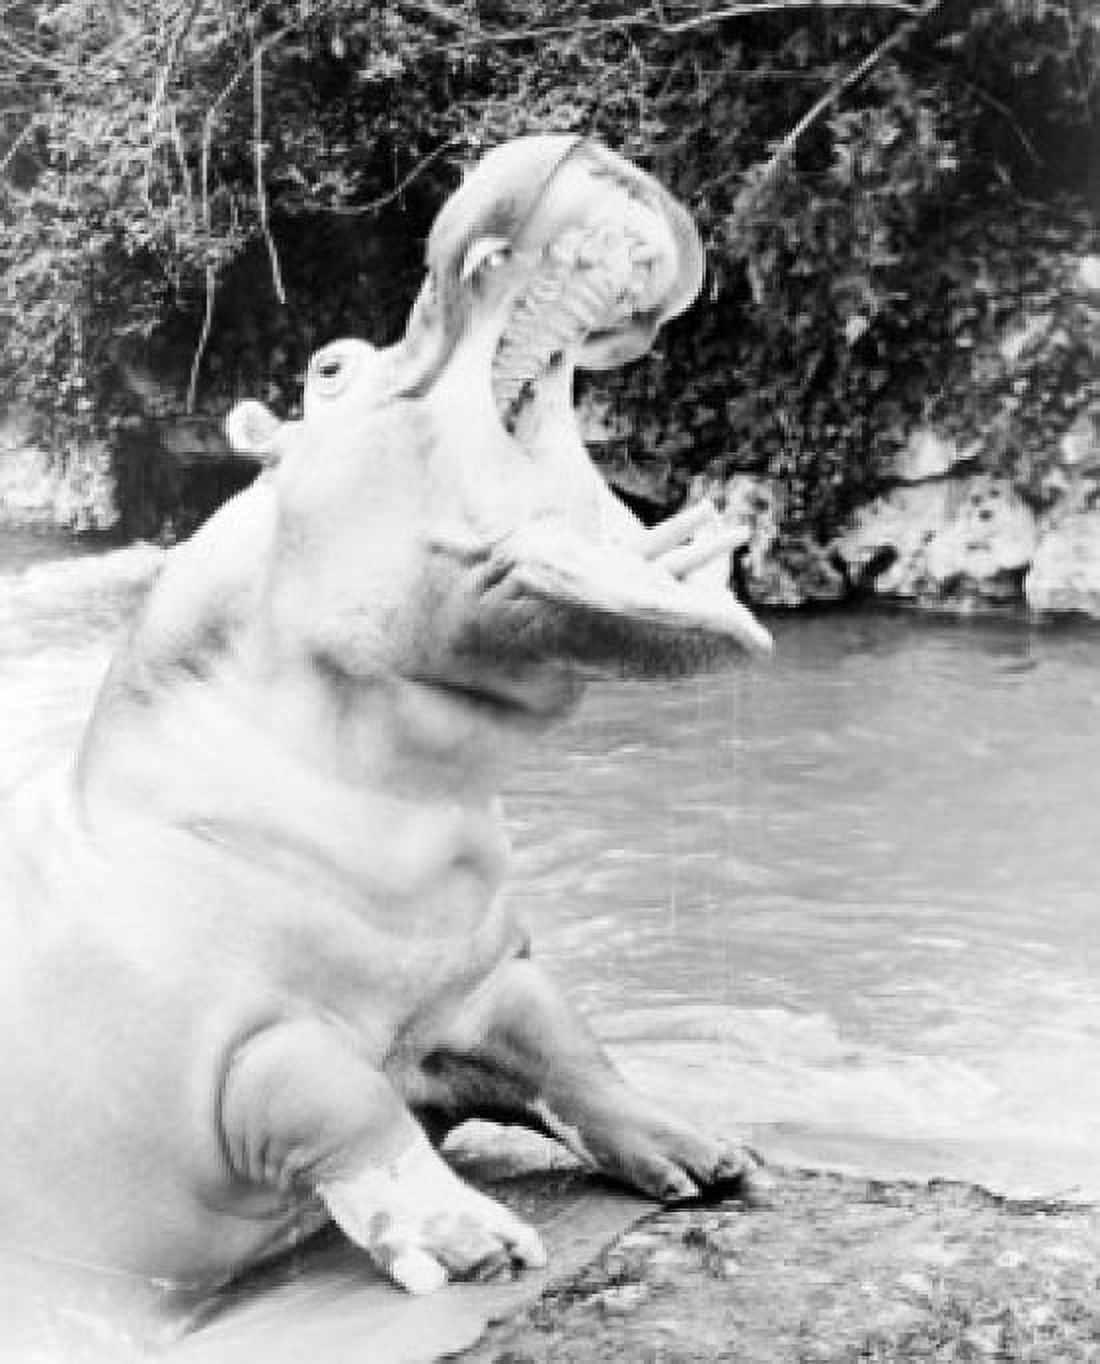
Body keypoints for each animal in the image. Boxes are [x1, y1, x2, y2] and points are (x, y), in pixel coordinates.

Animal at [0, 135, 772, 1305]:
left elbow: (569, 1045)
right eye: (329, 366)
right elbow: (337, 1094)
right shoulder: (233, 1042)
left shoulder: (479, 978)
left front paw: (707, 1154)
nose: (581, 141)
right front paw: (479, 1245)